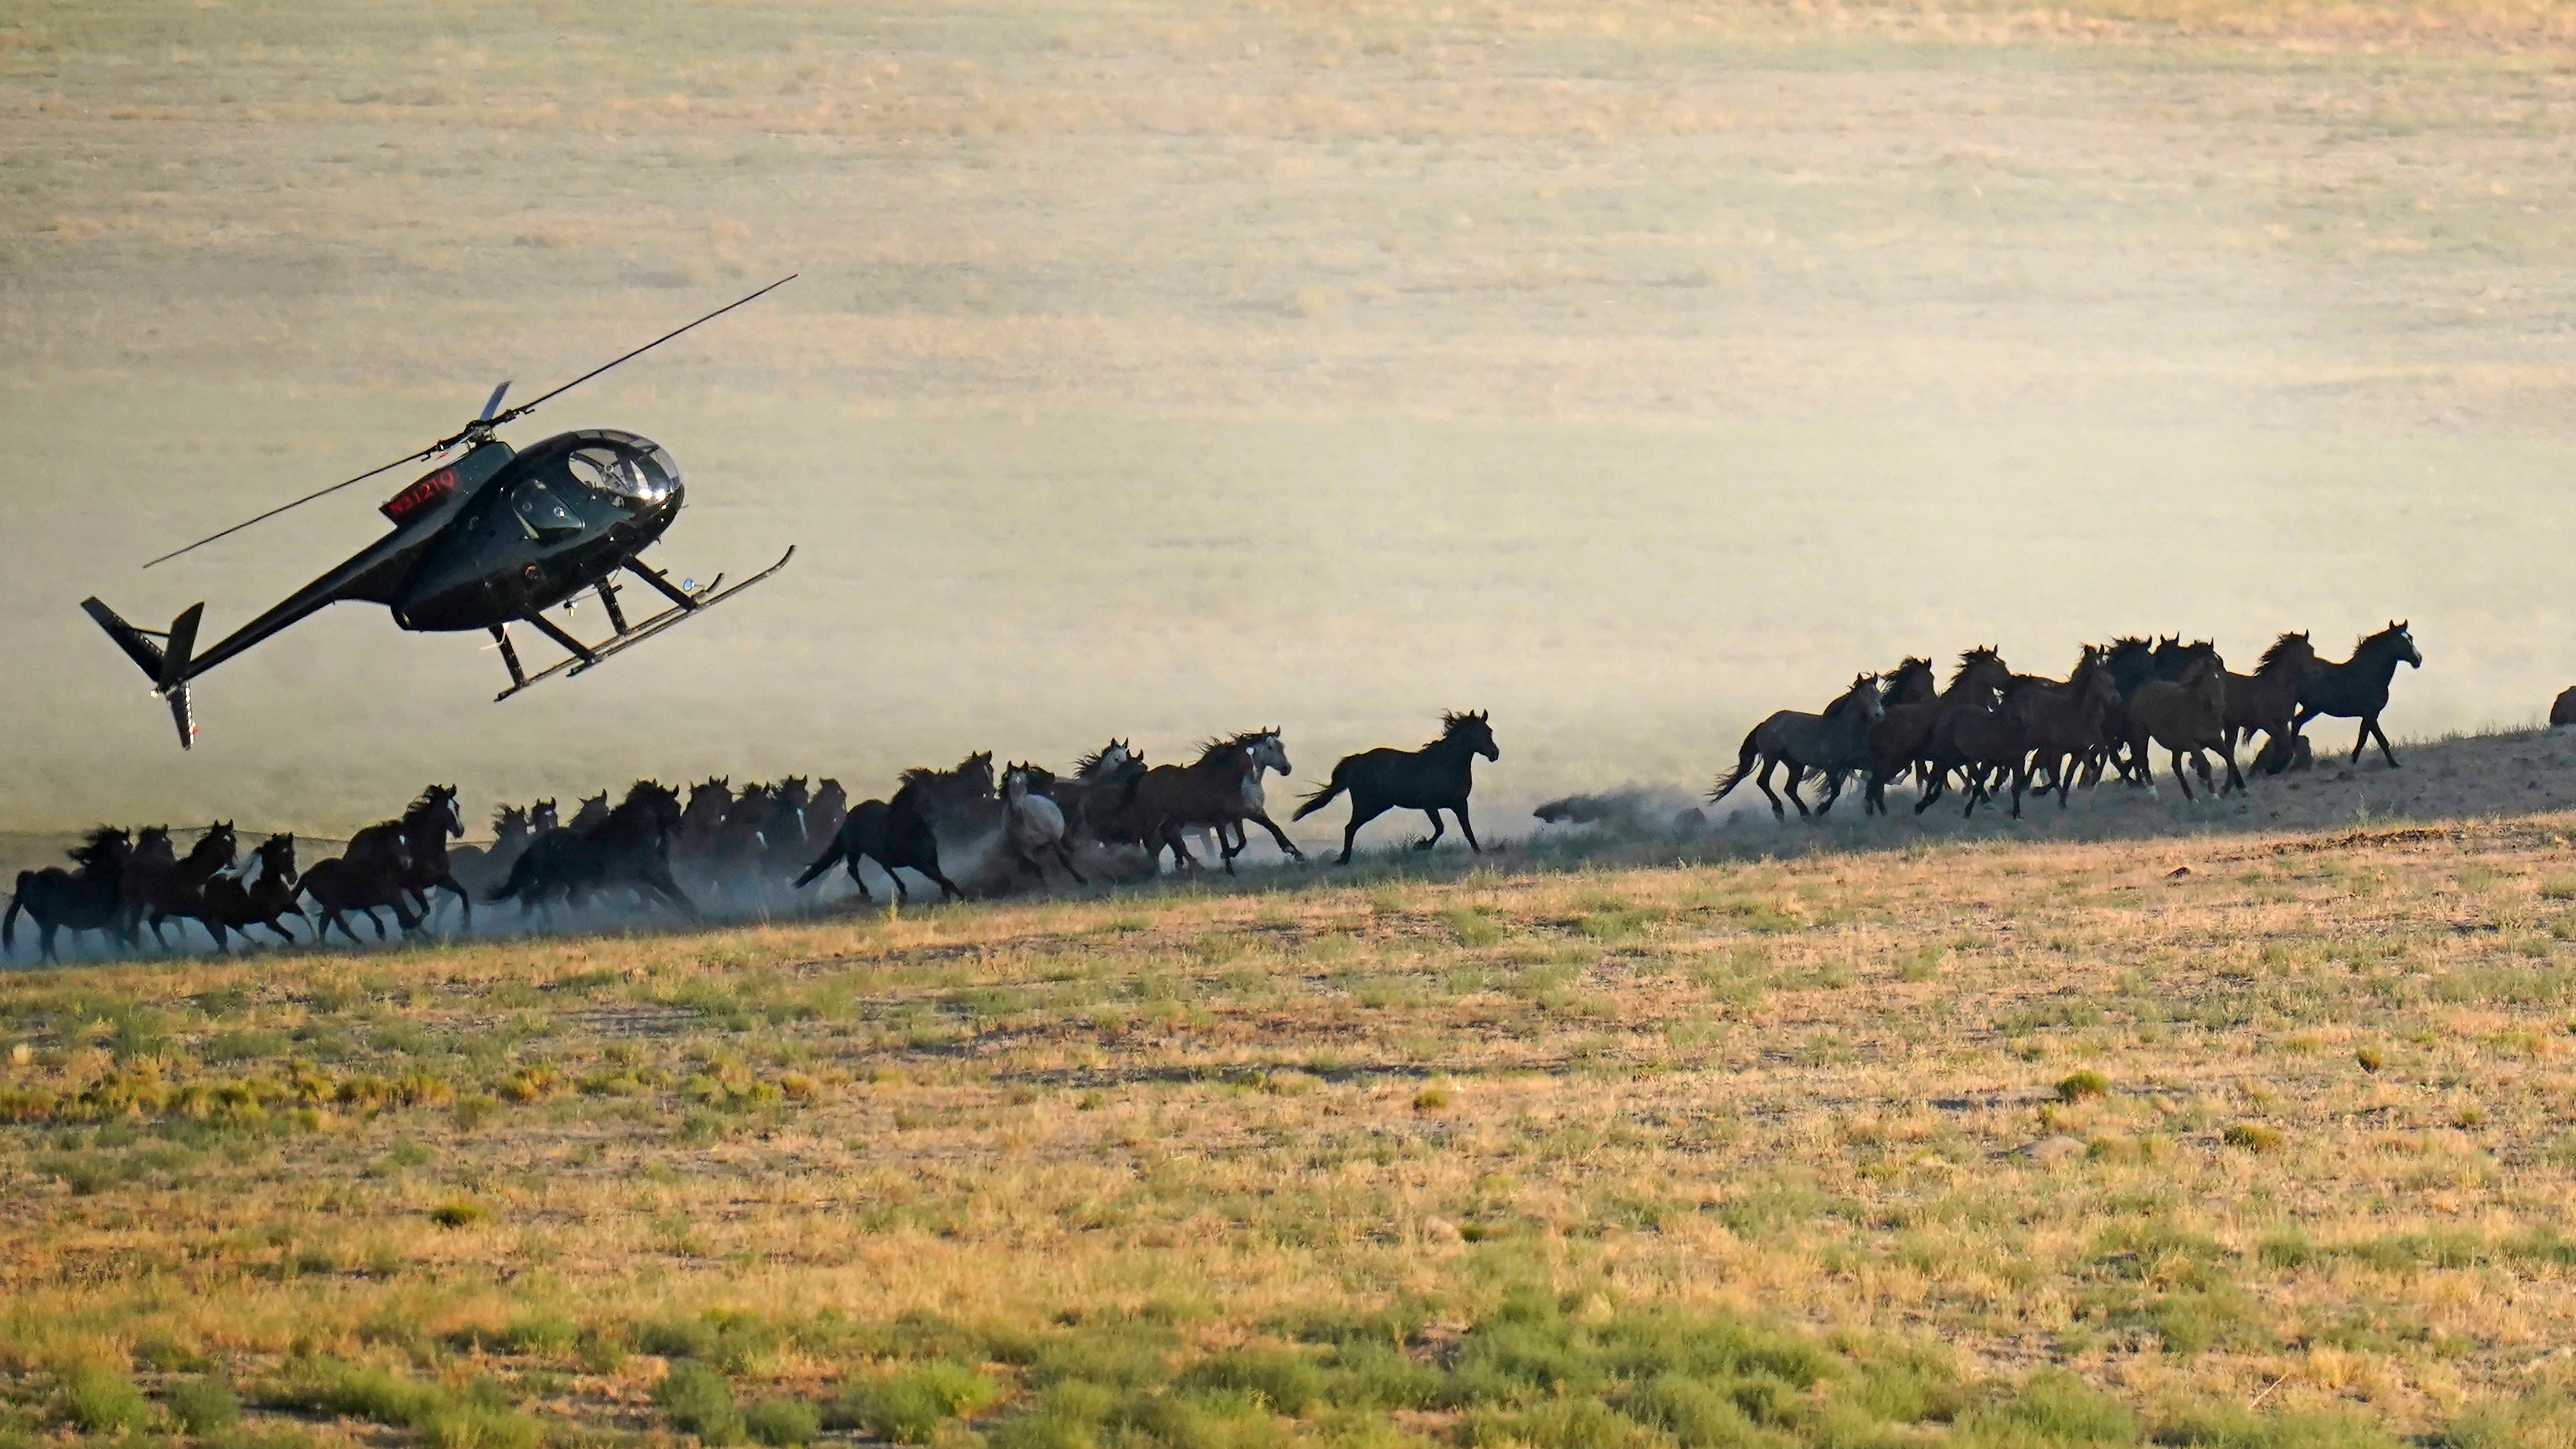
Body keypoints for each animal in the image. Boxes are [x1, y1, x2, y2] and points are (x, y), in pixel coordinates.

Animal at [4, 825, 133, 959]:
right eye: (120, 847)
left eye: (130, 846)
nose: (130, 863)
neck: (102, 881)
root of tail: (30, 879)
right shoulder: (114, 922)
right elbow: (120, 941)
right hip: (49, 922)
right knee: (46, 943)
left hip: (46, 923)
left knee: (47, 944)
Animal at [1298, 706, 1504, 861]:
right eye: (1474, 734)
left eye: (1490, 731)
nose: (1495, 754)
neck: (1446, 765)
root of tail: (1357, 760)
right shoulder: (1429, 805)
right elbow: (1440, 828)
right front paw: (1421, 845)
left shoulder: (1460, 804)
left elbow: (1468, 831)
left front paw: (1479, 853)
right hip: (1369, 806)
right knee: (1350, 828)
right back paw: (1343, 860)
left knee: (1351, 828)